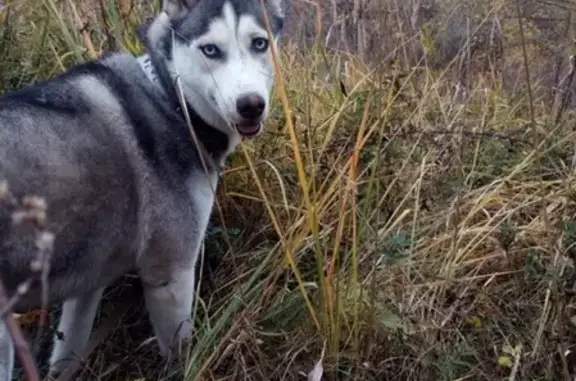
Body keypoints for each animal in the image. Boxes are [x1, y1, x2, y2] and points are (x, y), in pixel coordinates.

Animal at [0, 0, 288, 378]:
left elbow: (68, 355)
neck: (173, 102)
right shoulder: (170, 276)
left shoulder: (88, 284)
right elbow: (180, 357)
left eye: (259, 43)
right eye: (211, 50)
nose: (250, 104)